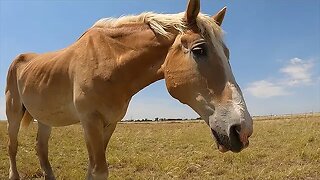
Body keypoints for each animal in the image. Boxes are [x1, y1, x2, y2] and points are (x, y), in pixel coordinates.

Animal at [5, 0, 252, 179]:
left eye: (227, 54)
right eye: (199, 50)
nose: (242, 129)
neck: (108, 61)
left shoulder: (110, 123)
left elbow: (93, 170)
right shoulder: (90, 121)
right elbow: (98, 171)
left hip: (45, 119)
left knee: (41, 149)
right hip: (14, 114)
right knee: (12, 147)